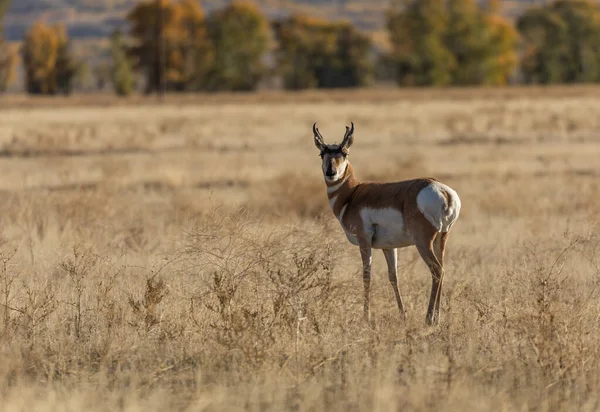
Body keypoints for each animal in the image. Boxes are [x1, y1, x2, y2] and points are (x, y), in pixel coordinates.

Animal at [312, 121, 462, 326]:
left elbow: (366, 275)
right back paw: (437, 319)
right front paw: (402, 314)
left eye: (344, 152)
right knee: (442, 269)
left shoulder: (364, 242)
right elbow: (393, 277)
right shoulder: (389, 247)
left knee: (437, 270)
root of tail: (443, 191)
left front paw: (365, 317)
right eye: (322, 153)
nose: (331, 172)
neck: (352, 194)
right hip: (441, 239)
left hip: (423, 242)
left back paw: (429, 319)